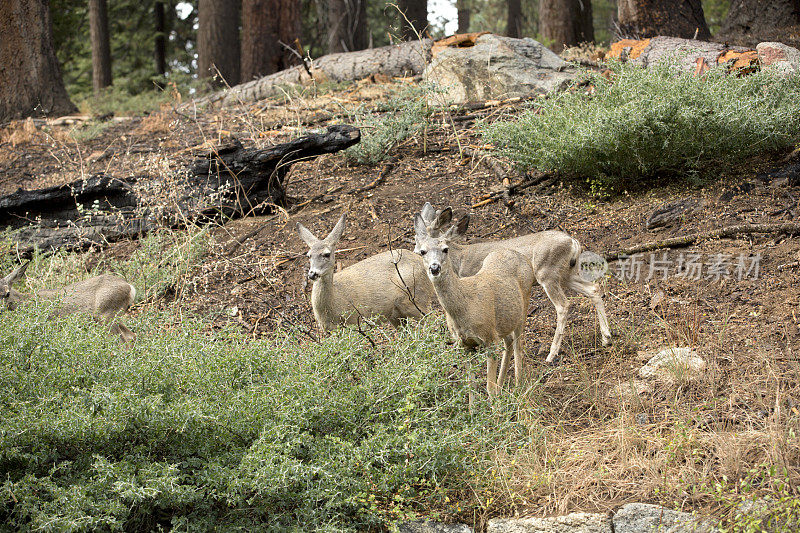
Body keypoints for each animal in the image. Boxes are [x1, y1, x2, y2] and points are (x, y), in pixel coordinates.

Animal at [0, 260, 138, 342]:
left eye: (7, 293)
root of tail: (130, 287)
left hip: (106, 314)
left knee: (123, 341)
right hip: (114, 315)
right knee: (131, 336)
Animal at [296, 213, 434, 332]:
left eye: (326, 254)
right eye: (308, 255)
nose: (312, 274)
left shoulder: (356, 320)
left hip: (415, 299)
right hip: (396, 313)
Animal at [416, 213, 536, 394]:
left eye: (445, 249)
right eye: (423, 251)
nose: (434, 268)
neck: (465, 308)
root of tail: (521, 256)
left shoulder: (489, 338)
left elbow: (488, 387)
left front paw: (495, 399)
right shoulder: (464, 344)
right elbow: (470, 385)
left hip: (523, 307)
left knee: (518, 346)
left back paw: (518, 387)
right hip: (503, 321)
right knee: (509, 341)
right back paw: (502, 385)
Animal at [418, 202, 612, 364]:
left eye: (428, 241)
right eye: (418, 240)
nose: (432, 265)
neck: (459, 260)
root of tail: (573, 242)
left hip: (546, 273)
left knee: (563, 305)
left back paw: (551, 354)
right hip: (566, 274)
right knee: (594, 288)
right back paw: (606, 338)